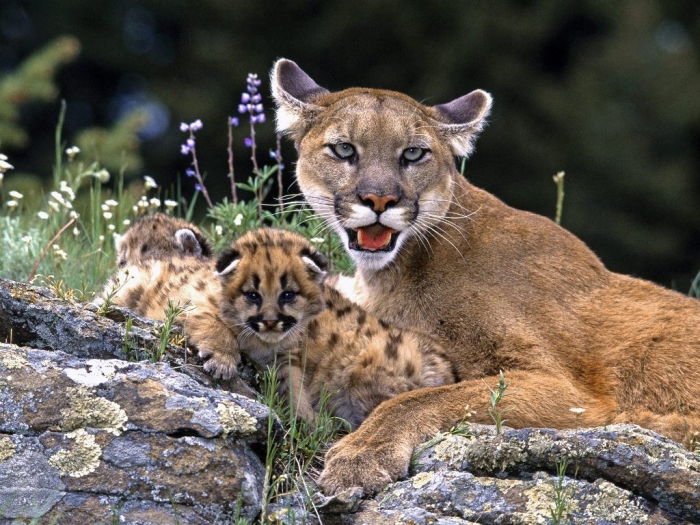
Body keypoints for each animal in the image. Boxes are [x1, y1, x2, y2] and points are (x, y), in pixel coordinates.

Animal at [270, 58, 700, 496]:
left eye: (413, 153)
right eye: (344, 149)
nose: (379, 199)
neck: (397, 271)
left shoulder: (564, 388)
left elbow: (421, 399)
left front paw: (361, 454)